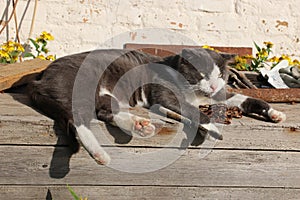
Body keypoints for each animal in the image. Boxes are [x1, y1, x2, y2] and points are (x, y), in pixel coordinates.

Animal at [28, 48, 286, 164]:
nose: (213, 85)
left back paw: (140, 125)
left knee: (104, 110)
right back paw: (100, 153)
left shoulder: (217, 95)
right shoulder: (164, 95)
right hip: (81, 86)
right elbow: (192, 112)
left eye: (221, 75)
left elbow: (243, 98)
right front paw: (211, 128)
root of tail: (40, 78)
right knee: (76, 119)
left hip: (106, 95)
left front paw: (275, 112)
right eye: (201, 75)